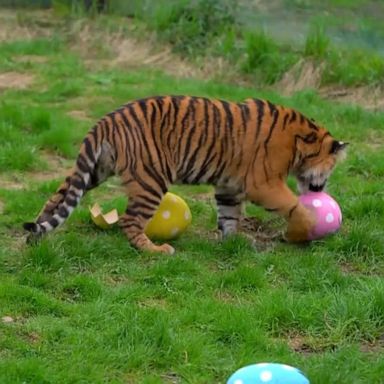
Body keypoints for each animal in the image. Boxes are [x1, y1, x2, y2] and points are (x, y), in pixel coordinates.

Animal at [24, 95, 348, 255]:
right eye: (331, 168)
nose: (319, 191)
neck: (300, 140)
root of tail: (107, 120)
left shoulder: (229, 184)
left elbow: (229, 215)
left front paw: (234, 243)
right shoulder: (264, 183)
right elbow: (294, 207)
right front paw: (303, 231)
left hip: (95, 170)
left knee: (59, 195)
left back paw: (35, 234)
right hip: (151, 179)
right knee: (130, 221)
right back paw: (155, 251)